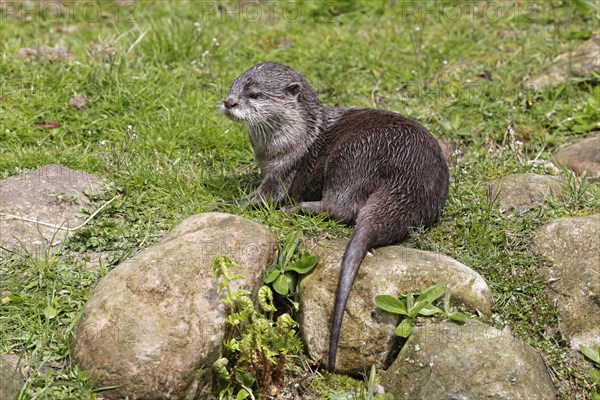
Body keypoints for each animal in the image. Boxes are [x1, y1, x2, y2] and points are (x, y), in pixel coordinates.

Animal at [218, 61, 448, 370]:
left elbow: (266, 197)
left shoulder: (285, 171)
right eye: (233, 87)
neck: (295, 139)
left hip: (352, 156)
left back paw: (298, 208)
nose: (229, 102)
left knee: (341, 208)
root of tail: (410, 175)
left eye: (254, 94)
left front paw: (231, 201)